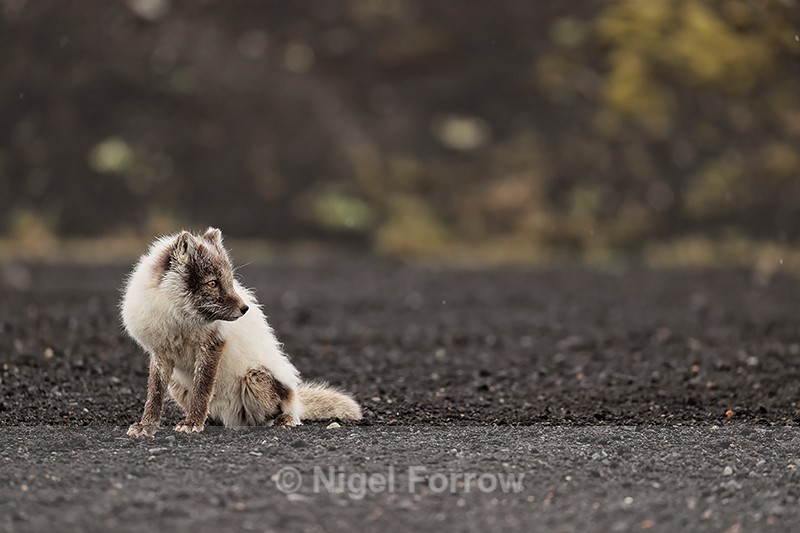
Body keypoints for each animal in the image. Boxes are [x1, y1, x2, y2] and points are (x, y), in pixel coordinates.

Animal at [122, 228, 362, 437]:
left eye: (229, 281)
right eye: (212, 283)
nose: (245, 309)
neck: (179, 322)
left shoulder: (213, 345)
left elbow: (202, 389)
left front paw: (192, 423)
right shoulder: (160, 354)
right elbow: (154, 396)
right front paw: (146, 426)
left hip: (255, 378)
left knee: (277, 415)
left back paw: (284, 420)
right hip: (178, 385)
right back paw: (211, 421)